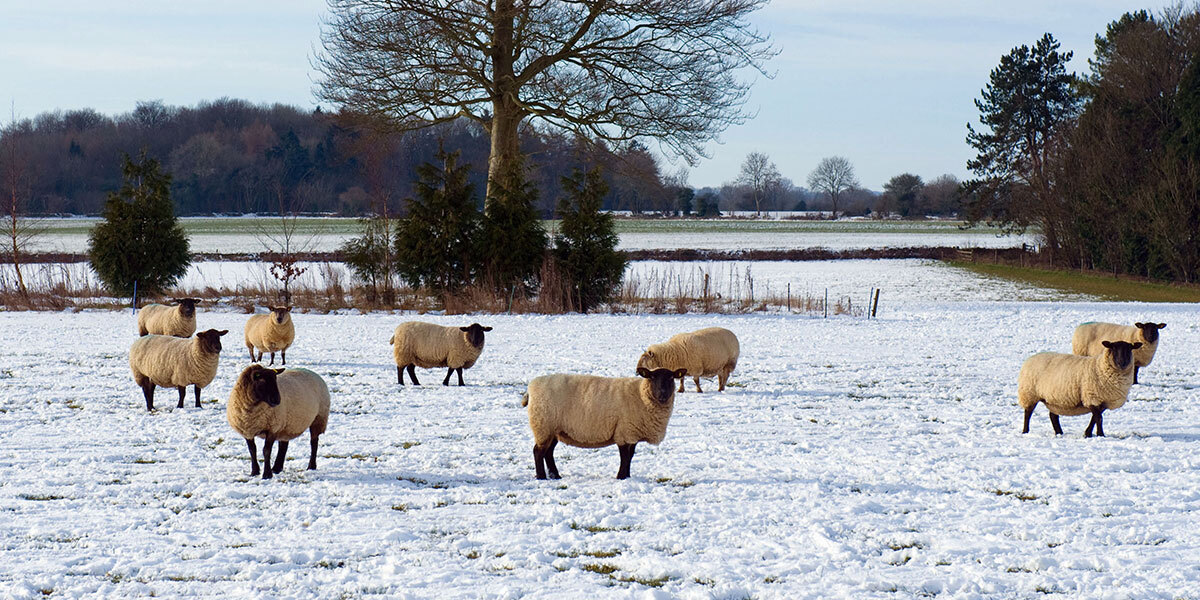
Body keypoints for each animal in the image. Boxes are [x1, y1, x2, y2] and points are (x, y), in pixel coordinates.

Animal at [523, 362, 686, 480]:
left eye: (671, 378)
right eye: (652, 377)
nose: (663, 394)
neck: (640, 394)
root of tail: (530, 388)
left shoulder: (632, 433)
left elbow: (630, 456)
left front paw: (627, 476)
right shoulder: (624, 432)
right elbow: (625, 456)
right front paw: (621, 477)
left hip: (554, 429)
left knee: (548, 452)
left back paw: (555, 475)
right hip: (543, 425)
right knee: (538, 451)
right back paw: (542, 477)